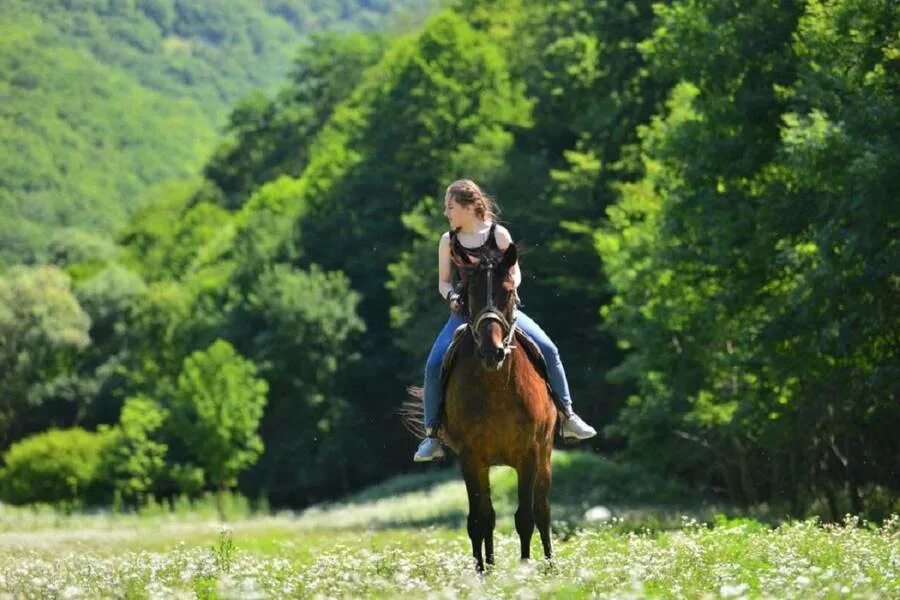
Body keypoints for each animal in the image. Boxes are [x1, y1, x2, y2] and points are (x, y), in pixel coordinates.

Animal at [402, 244, 556, 572]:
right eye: (470, 291)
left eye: (508, 290)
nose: (491, 351)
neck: (496, 386)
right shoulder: (471, 458)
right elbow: (479, 519)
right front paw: (481, 573)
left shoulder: (528, 454)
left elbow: (525, 517)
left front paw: (525, 569)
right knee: (489, 515)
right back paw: (493, 566)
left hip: (545, 454)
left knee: (542, 509)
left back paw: (550, 566)